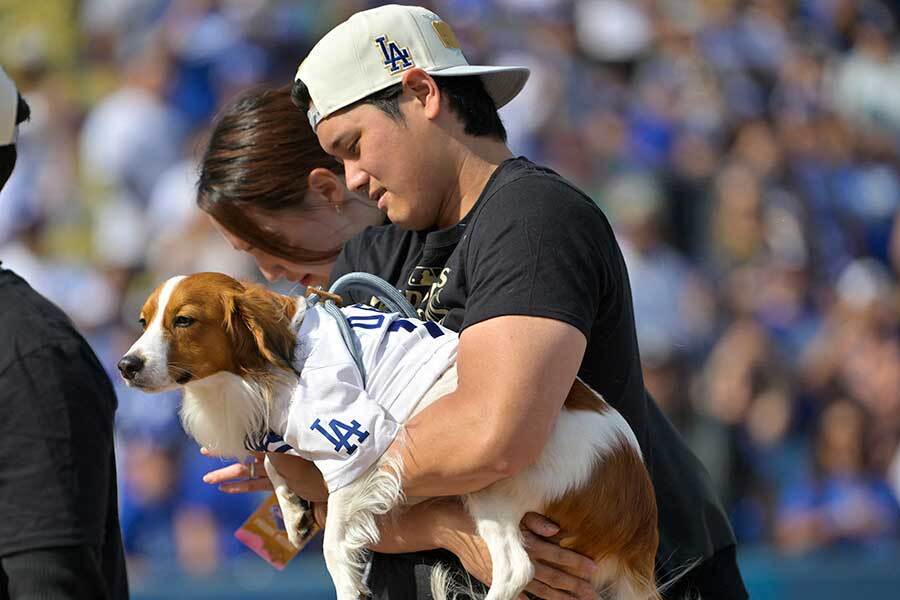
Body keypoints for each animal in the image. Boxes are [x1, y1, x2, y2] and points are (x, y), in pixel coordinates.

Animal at [118, 274, 652, 600]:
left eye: (184, 320)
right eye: (143, 321)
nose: (126, 365)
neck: (265, 362)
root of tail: (638, 523)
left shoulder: (359, 443)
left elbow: (336, 538)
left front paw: (345, 581)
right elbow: (275, 461)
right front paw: (292, 510)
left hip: (498, 486)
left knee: (517, 568)